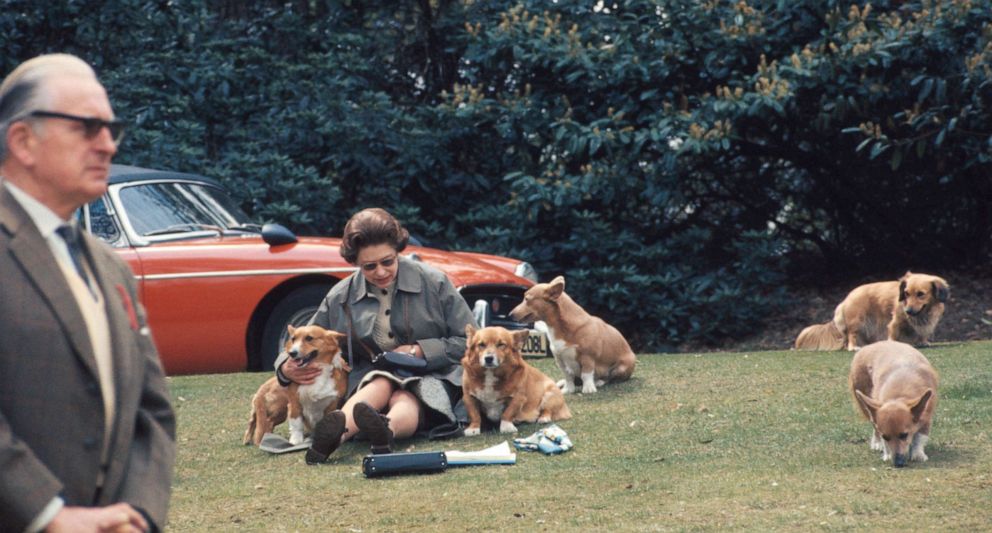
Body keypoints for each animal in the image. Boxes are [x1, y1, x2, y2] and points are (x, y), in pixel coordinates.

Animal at [796, 272, 948, 352]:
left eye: (920, 294)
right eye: (906, 293)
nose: (908, 311)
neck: (923, 312)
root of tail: (845, 299)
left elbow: (922, 332)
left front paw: (923, 341)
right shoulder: (895, 322)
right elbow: (893, 333)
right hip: (857, 322)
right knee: (851, 336)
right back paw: (854, 347)